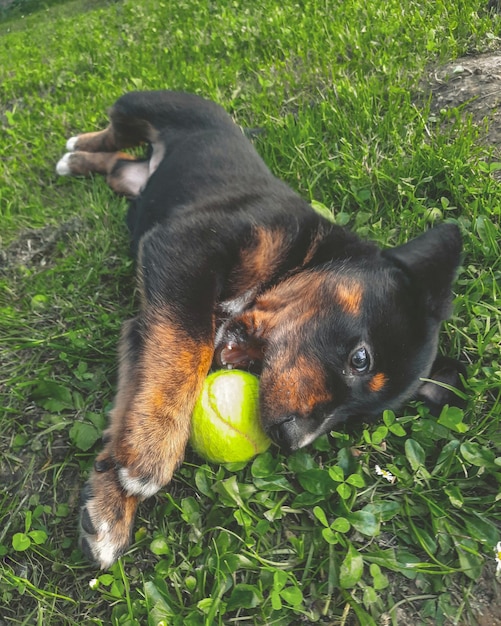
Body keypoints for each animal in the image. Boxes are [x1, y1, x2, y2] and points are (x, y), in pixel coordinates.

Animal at [56, 90, 462, 568]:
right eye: (361, 359)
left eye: (356, 420)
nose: (290, 440)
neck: (301, 258)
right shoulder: (184, 248)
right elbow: (186, 348)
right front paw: (150, 454)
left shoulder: (147, 322)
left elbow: (135, 392)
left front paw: (110, 507)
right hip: (140, 106)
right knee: (115, 132)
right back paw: (76, 147)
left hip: (131, 181)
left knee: (119, 165)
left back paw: (80, 161)